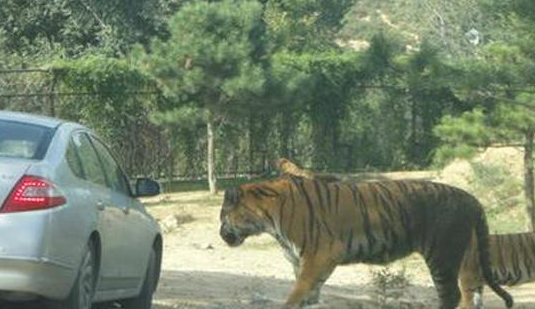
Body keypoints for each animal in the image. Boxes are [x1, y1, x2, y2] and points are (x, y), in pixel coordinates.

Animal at [219, 174, 516, 306]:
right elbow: (310, 296)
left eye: (223, 216)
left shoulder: (319, 257)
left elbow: (297, 293)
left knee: (452, 294)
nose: (221, 235)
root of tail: (471, 197)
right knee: (472, 291)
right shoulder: (303, 262)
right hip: (466, 254)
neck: (269, 221)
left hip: (442, 254)